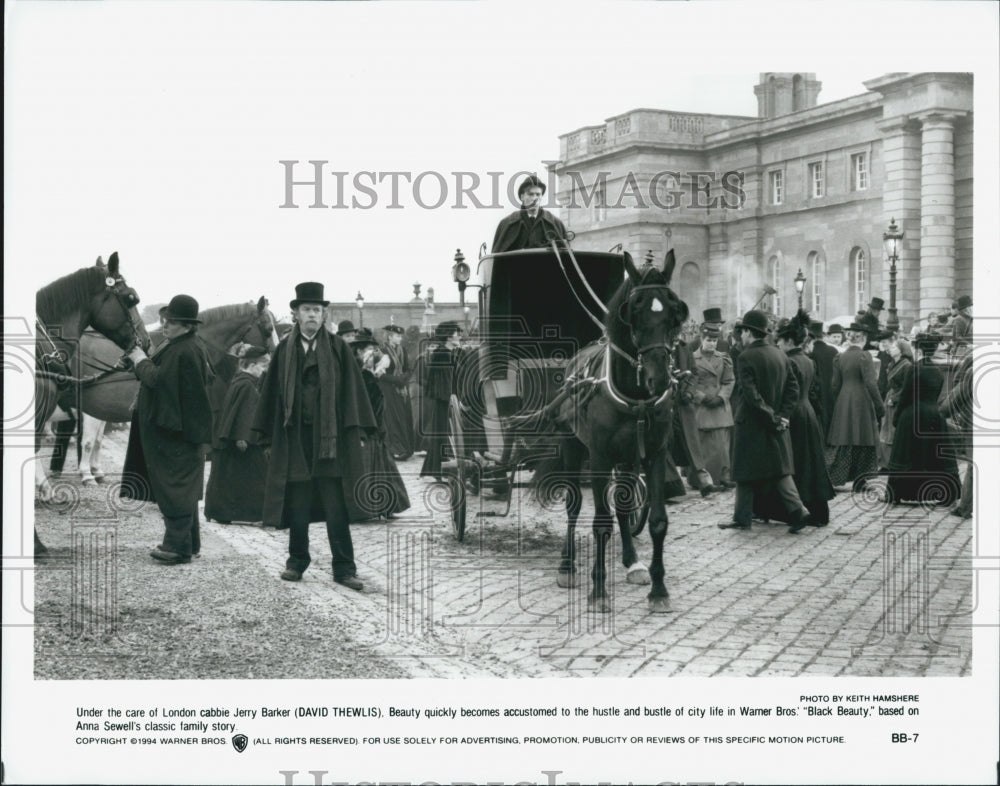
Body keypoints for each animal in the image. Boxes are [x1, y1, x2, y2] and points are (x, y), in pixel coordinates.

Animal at [536, 251, 692, 612]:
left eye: (674, 312)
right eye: (635, 311)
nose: (660, 378)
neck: (635, 397)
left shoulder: (655, 454)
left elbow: (657, 521)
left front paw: (659, 590)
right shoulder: (598, 457)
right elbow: (600, 522)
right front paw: (598, 590)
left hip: (628, 458)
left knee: (623, 504)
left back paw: (633, 563)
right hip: (572, 447)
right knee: (574, 505)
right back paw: (567, 566)